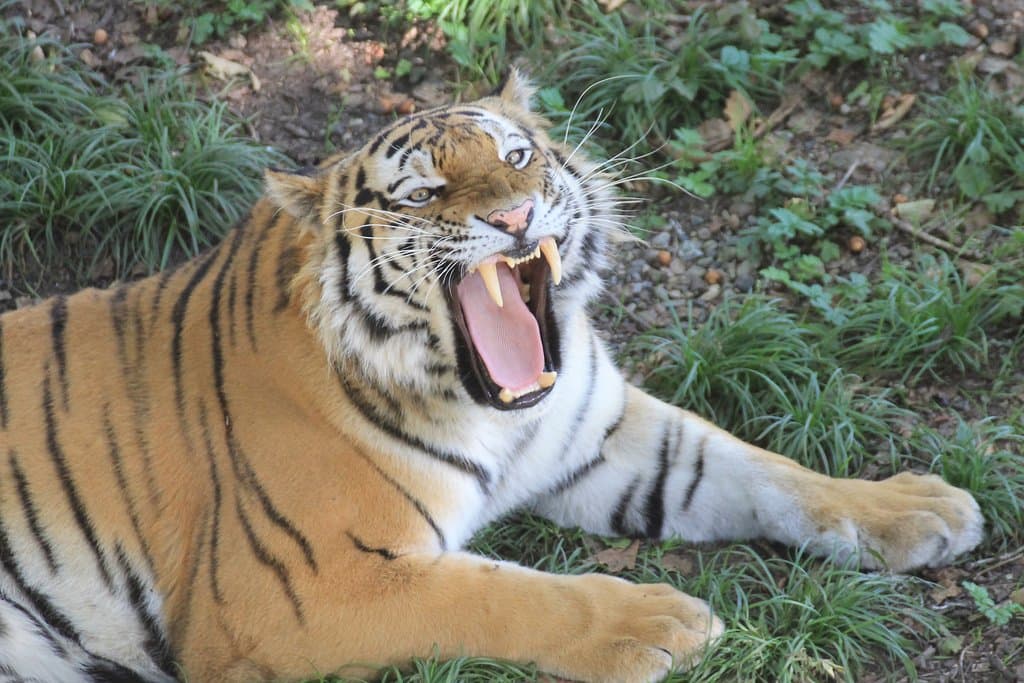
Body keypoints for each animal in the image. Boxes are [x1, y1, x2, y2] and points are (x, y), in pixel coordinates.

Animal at [0, 70, 983, 682]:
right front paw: (657, 623)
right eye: (421, 194)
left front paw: (915, 506)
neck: (490, 407)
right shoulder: (297, 591)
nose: (514, 217)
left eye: (516, 157)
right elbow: (500, 592)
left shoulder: (605, 434)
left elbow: (760, 467)